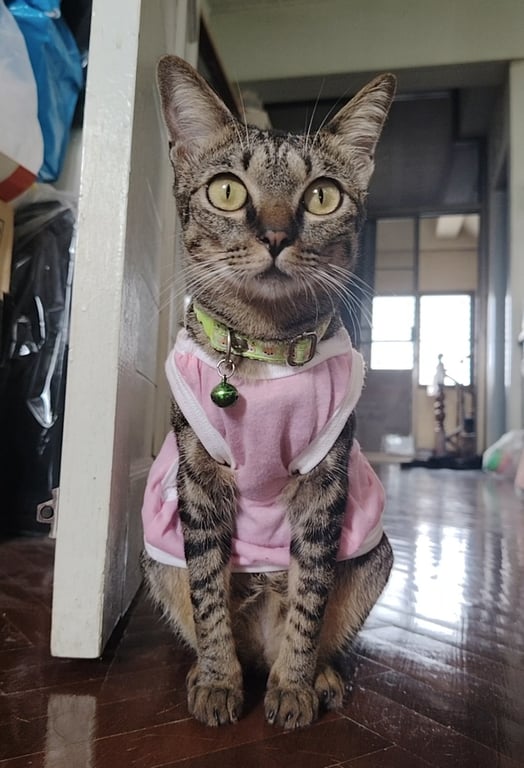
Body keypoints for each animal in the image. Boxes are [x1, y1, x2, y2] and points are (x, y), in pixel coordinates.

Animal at [141, 55, 396, 730]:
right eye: (227, 190)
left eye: (323, 195)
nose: (278, 235)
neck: (263, 347)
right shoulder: (197, 481)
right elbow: (208, 593)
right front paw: (217, 682)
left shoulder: (327, 481)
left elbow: (310, 594)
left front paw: (294, 686)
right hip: (156, 559)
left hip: (376, 554)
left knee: (322, 621)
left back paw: (318, 675)